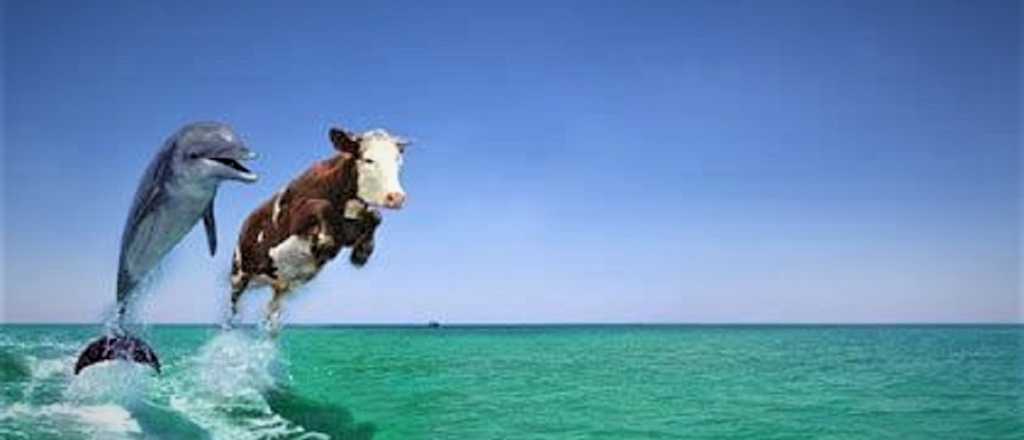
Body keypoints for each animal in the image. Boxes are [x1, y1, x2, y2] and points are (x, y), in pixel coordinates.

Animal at [228, 126, 408, 332]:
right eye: (368, 159)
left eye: (398, 160)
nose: (397, 197)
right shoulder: (294, 217)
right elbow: (322, 206)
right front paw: (324, 244)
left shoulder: (347, 232)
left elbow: (376, 216)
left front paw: (362, 253)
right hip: (238, 273)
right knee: (233, 306)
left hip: (280, 283)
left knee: (273, 308)